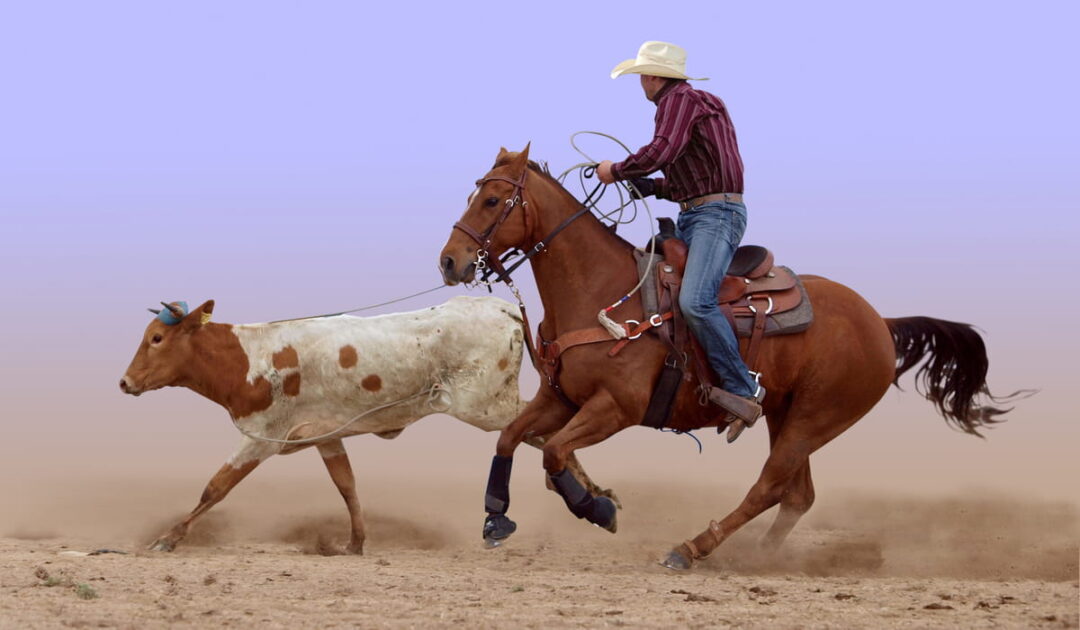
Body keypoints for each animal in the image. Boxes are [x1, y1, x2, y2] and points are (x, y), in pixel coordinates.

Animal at [438, 145, 1023, 570]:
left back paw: (693, 548)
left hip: (816, 418)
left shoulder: (617, 407)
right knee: (798, 495)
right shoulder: (561, 398)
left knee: (770, 486)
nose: (450, 260)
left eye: (493, 201)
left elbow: (554, 453)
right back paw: (759, 557)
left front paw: (599, 508)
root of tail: (881, 323)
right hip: (788, 414)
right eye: (474, 194)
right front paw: (496, 520)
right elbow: (512, 438)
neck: (605, 292)